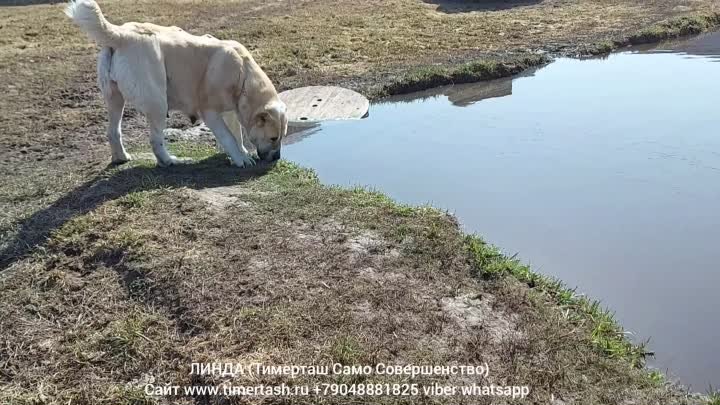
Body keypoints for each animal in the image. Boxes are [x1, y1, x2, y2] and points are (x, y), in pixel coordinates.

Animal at [64, 0, 288, 166]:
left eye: (281, 137)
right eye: (273, 138)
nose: (276, 158)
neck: (243, 73)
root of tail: (122, 34)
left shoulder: (231, 110)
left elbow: (237, 134)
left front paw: (242, 153)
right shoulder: (210, 112)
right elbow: (228, 137)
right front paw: (241, 159)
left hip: (114, 99)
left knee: (113, 131)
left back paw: (121, 157)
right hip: (157, 102)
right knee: (156, 141)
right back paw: (171, 160)